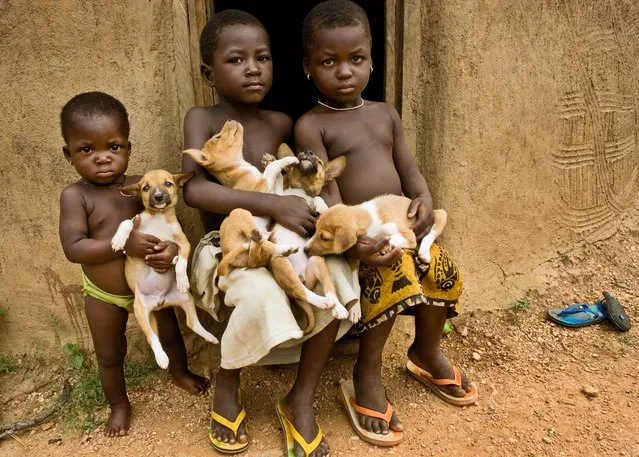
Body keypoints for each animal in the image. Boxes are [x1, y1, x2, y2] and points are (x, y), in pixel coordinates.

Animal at [111, 169, 219, 368]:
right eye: (145, 188)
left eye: (168, 183)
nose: (159, 197)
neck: (159, 218)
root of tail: (159, 302)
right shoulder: (136, 225)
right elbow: (126, 222)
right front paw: (118, 239)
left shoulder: (183, 242)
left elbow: (182, 262)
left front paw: (182, 278)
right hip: (141, 312)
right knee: (151, 337)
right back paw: (162, 358)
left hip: (186, 299)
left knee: (191, 323)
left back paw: (209, 336)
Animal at [306, 194, 448, 322]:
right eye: (315, 229)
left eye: (324, 238)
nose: (305, 249)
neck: (367, 218)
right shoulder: (355, 255)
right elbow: (355, 283)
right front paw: (355, 309)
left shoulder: (409, 235)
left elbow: (391, 237)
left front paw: (385, 246)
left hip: (440, 214)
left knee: (430, 234)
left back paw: (424, 253)